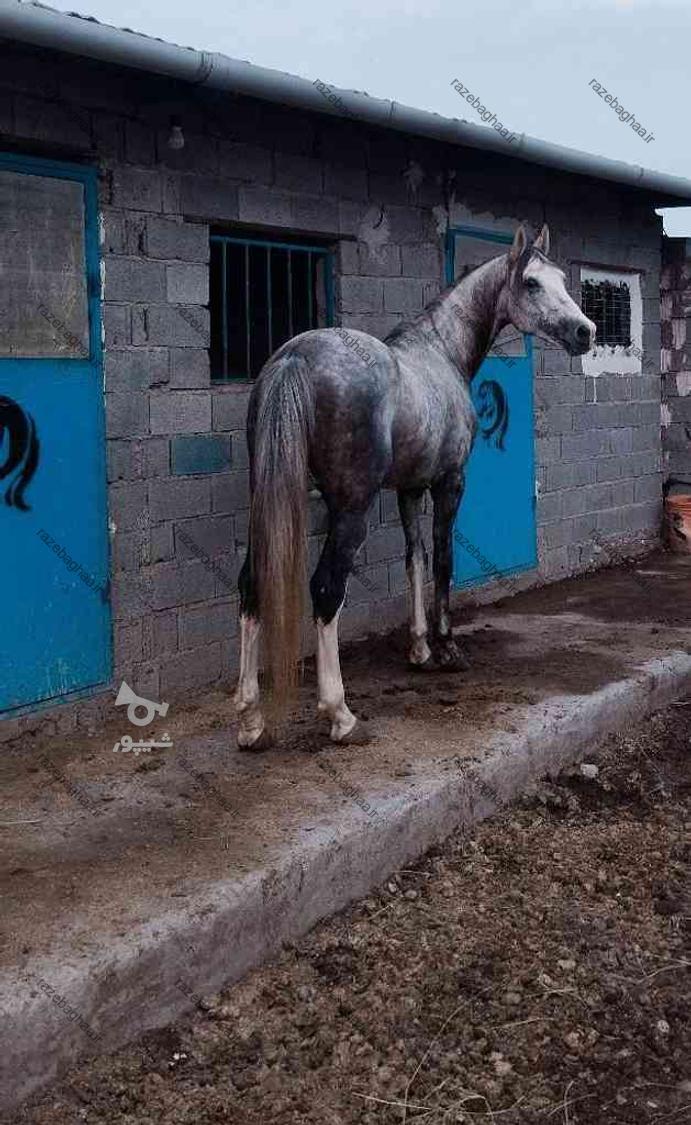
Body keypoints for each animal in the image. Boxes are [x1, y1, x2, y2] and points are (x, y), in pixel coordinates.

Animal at [235, 221, 598, 747]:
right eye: (532, 283)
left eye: (564, 280)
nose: (585, 332)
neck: (441, 351)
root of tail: (294, 358)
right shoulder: (449, 482)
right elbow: (443, 559)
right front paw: (447, 649)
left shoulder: (409, 488)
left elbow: (415, 560)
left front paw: (420, 649)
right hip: (350, 509)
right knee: (326, 590)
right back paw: (340, 715)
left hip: (268, 502)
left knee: (251, 585)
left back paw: (251, 721)